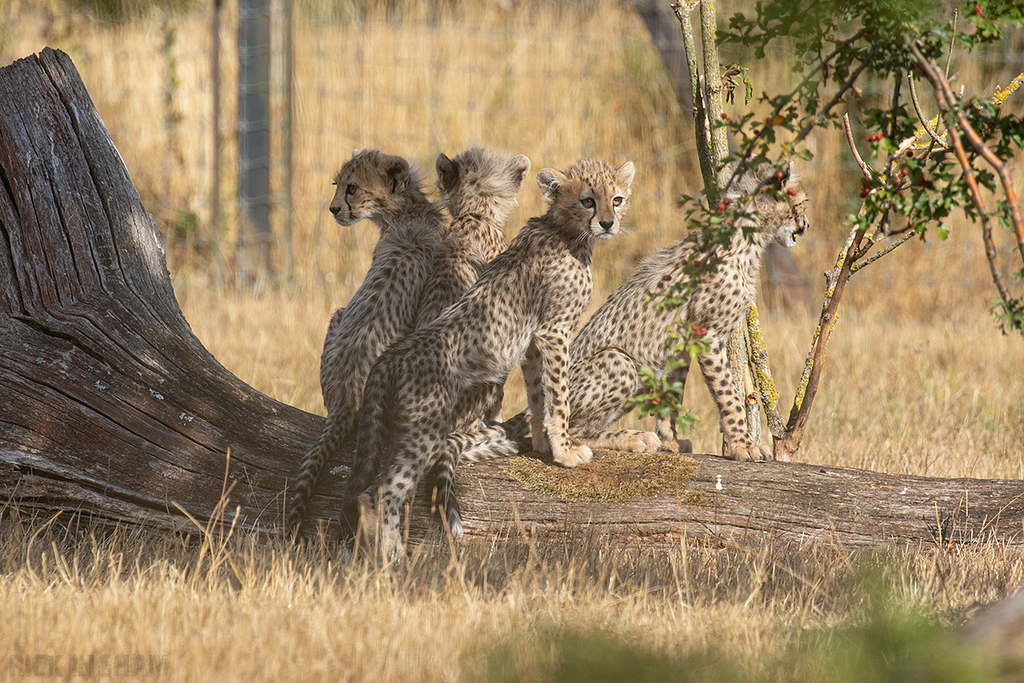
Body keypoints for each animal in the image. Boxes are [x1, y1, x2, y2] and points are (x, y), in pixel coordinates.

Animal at [287, 149, 445, 536]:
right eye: (337, 184)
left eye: (352, 188)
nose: (332, 209)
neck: (408, 210)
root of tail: (345, 399)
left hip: (338, 318)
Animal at [340, 158, 635, 558]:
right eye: (588, 200)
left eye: (617, 199)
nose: (607, 223)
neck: (566, 230)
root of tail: (391, 353)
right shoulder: (554, 332)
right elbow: (559, 396)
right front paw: (565, 451)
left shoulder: (532, 341)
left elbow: (539, 394)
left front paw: (543, 445)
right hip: (426, 428)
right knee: (384, 489)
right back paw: (394, 558)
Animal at [462, 161, 808, 465]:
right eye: (802, 203)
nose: (805, 227)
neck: (749, 235)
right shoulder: (707, 334)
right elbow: (729, 396)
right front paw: (742, 446)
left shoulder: (683, 342)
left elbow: (673, 395)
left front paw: (671, 441)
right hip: (620, 362)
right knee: (566, 426)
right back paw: (628, 439)